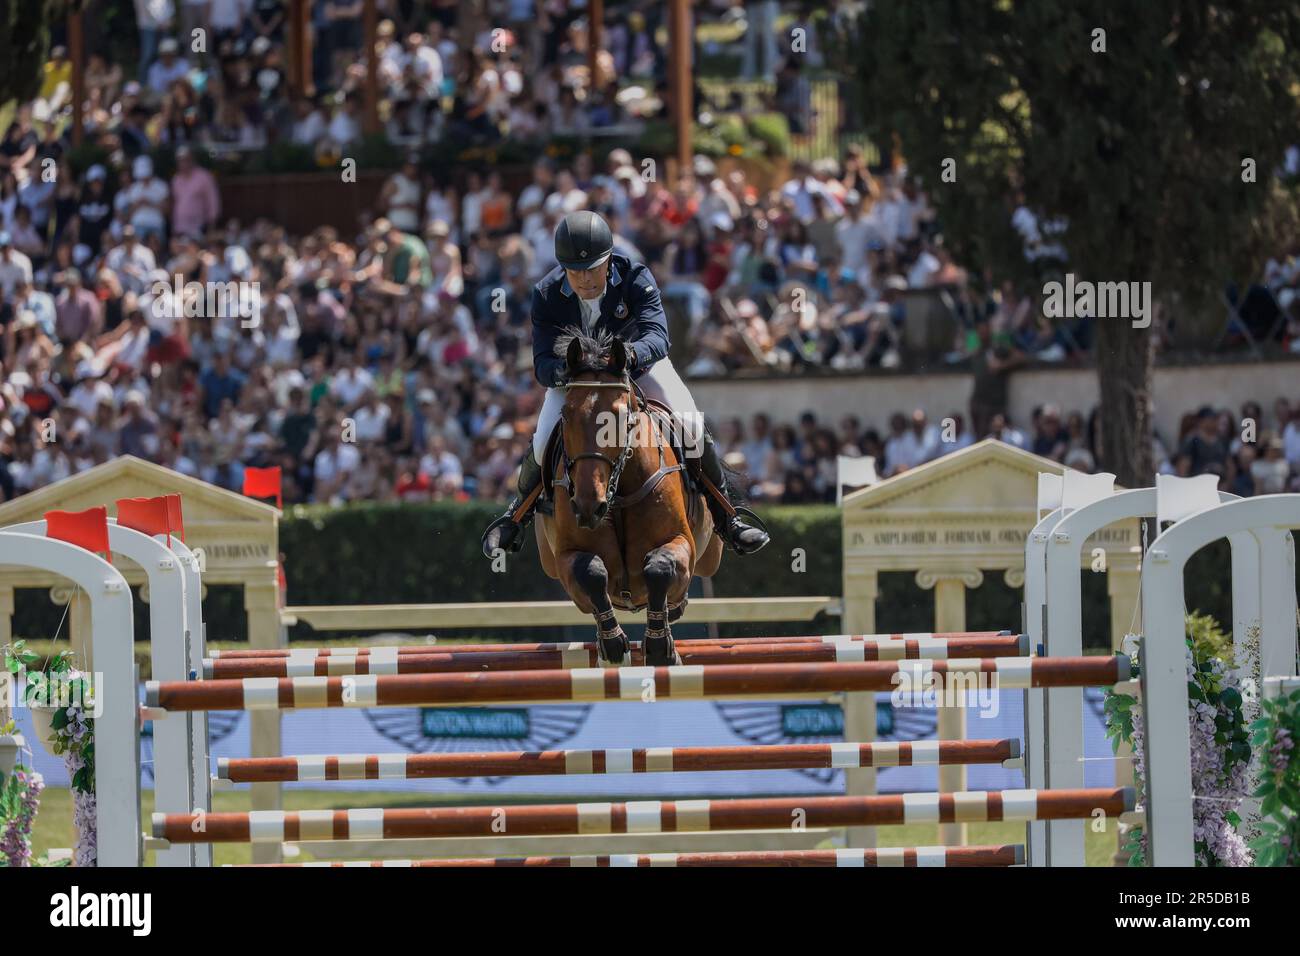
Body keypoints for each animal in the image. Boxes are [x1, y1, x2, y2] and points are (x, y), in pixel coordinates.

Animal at [533, 332, 728, 671]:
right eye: (566, 414)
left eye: (621, 417)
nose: (588, 505)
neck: (618, 495)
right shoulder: (565, 558)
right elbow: (591, 572)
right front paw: (612, 645)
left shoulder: (681, 542)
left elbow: (660, 567)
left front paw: (660, 646)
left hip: (709, 556)